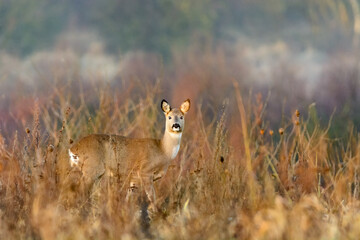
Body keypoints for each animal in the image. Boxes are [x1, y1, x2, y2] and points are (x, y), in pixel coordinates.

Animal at [57, 99, 190, 210]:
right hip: (91, 169)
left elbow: (128, 200)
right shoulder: (145, 172)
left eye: (181, 117)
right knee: (79, 190)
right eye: (169, 117)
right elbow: (152, 198)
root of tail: (73, 149)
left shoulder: (134, 179)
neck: (163, 150)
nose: (176, 125)